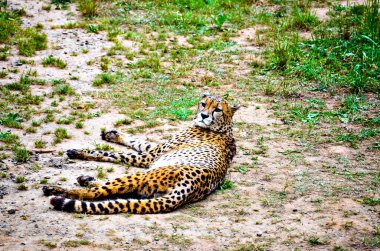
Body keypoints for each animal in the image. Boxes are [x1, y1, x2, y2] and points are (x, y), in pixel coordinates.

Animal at [43, 93, 239, 215]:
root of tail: (188, 190)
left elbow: (112, 153)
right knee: (111, 191)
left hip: (142, 175)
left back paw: (55, 189)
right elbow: (139, 142)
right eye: (204, 104)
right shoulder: (153, 152)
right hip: (146, 188)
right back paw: (86, 179)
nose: (204, 115)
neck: (223, 127)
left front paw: (78, 151)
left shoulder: (150, 157)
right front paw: (112, 134)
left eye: (218, 109)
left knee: (95, 194)